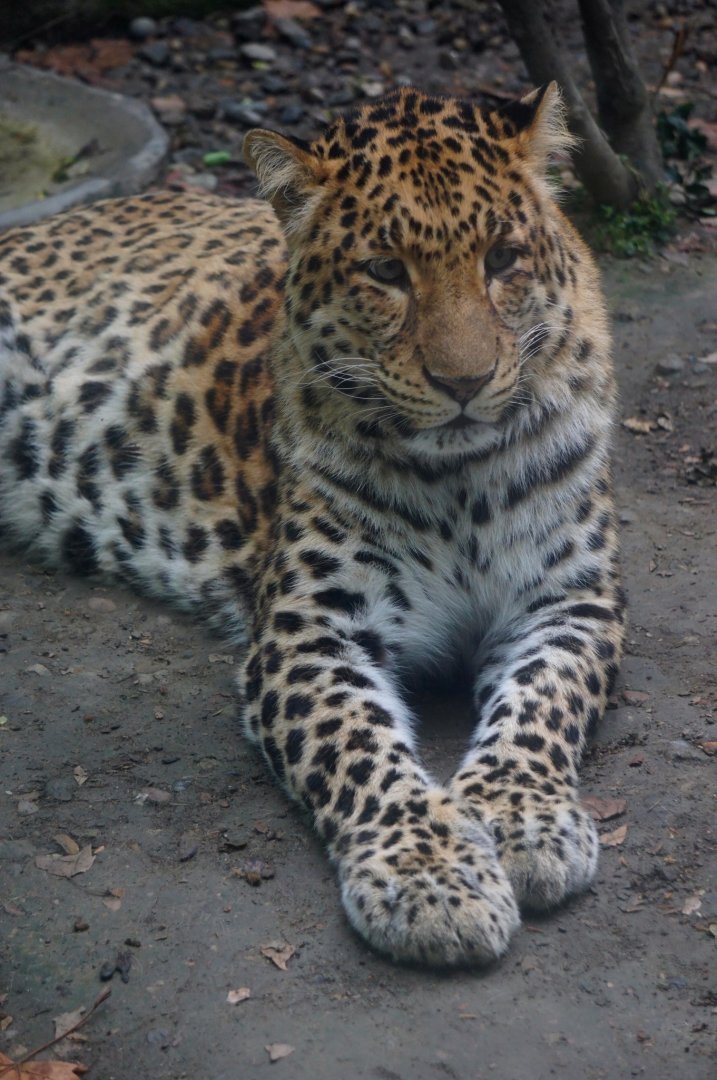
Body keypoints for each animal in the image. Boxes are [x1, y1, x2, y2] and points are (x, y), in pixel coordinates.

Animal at [0, 83, 624, 968]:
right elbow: (358, 747)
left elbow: (542, 706)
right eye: (386, 272)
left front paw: (523, 819)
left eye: (502, 259)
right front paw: (431, 877)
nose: (464, 383)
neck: (460, 482)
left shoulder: (570, 603)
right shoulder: (308, 630)